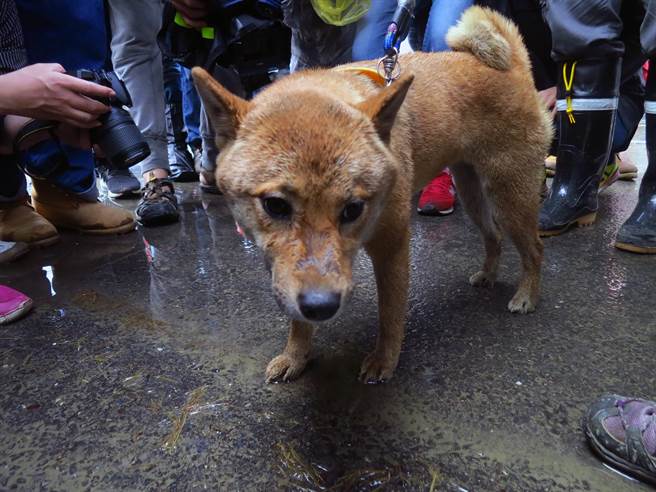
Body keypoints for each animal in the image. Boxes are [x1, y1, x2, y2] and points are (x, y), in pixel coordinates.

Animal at [193, 7, 552, 384]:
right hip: (472, 194)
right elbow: (297, 319)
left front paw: (384, 360)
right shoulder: (285, 268)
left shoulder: (391, 245)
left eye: (353, 209)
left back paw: (526, 296)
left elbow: (390, 315)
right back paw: (488, 276)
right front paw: (295, 356)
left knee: (535, 249)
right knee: (493, 237)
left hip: (510, 197)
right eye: (275, 206)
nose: (322, 306)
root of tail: (515, 67)